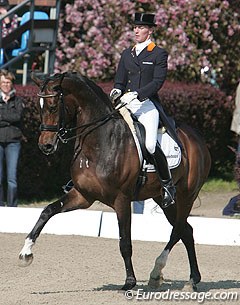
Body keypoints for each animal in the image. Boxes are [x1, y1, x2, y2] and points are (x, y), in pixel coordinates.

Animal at [18, 70, 210, 290]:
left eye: (52, 106)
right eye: (38, 108)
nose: (46, 146)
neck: (99, 142)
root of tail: (197, 138)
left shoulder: (122, 199)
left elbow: (125, 242)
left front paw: (130, 282)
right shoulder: (83, 196)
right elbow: (47, 211)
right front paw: (26, 252)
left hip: (187, 195)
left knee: (177, 230)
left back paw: (156, 272)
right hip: (164, 200)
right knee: (186, 230)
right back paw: (192, 279)